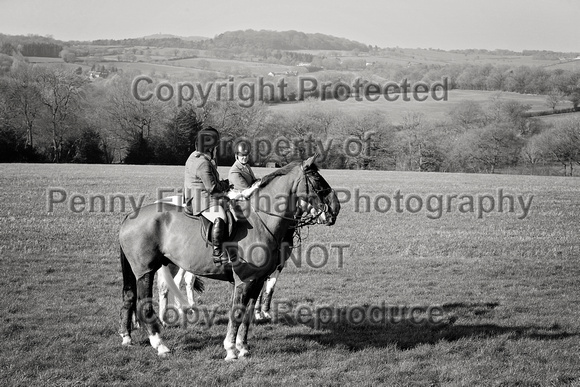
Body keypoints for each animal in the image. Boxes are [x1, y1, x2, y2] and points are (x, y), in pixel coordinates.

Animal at [120, 157, 342, 360]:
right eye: (317, 180)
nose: (336, 208)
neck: (260, 220)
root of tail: (132, 215)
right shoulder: (244, 280)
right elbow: (237, 313)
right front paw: (230, 349)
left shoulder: (257, 280)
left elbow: (248, 314)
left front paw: (243, 347)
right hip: (146, 270)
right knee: (145, 302)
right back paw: (160, 344)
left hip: (153, 267)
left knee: (133, 296)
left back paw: (128, 336)